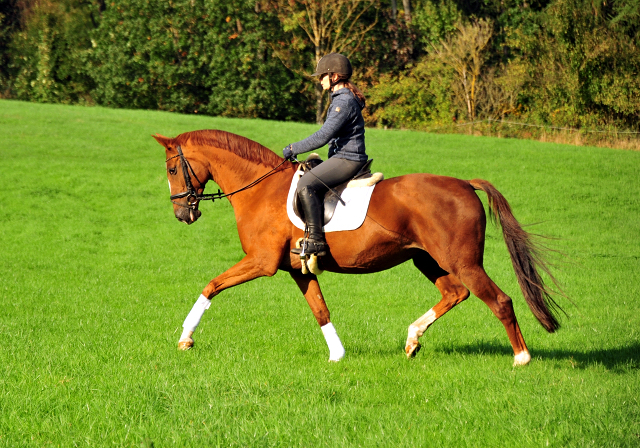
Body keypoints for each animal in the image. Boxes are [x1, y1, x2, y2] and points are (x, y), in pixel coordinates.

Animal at [152, 128, 564, 366]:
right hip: (427, 259)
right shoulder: (297, 269)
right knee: (455, 293)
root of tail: (464, 184)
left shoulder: (260, 262)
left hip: (461, 261)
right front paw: (337, 355)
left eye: (172, 170)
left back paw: (522, 359)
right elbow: (320, 309)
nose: (181, 213)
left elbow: (211, 286)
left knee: (499, 301)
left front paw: (186, 338)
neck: (260, 188)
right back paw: (412, 340)